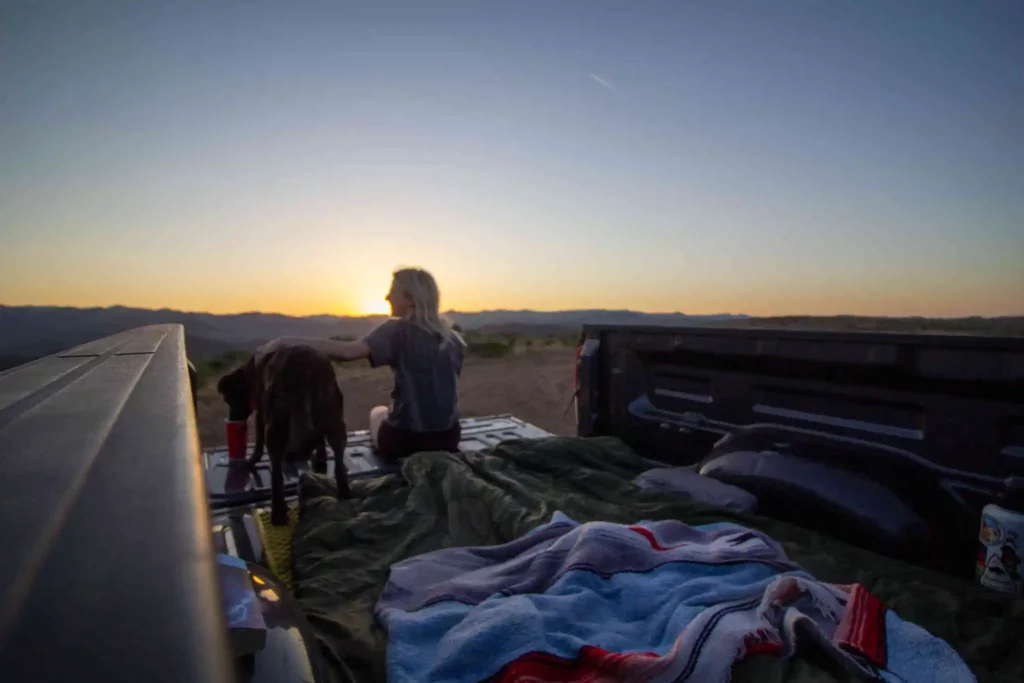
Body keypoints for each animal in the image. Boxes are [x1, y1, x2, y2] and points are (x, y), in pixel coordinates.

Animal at [218, 344, 350, 528]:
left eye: (228, 400)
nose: (232, 419)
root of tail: (306, 369)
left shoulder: (261, 415)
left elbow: (258, 445)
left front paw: (250, 462)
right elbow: (320, 445)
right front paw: (320, 460)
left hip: (274, 428)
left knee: (277, 474)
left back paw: (278, 513)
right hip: (335, 419)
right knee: (338, 462)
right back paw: (345, 493)